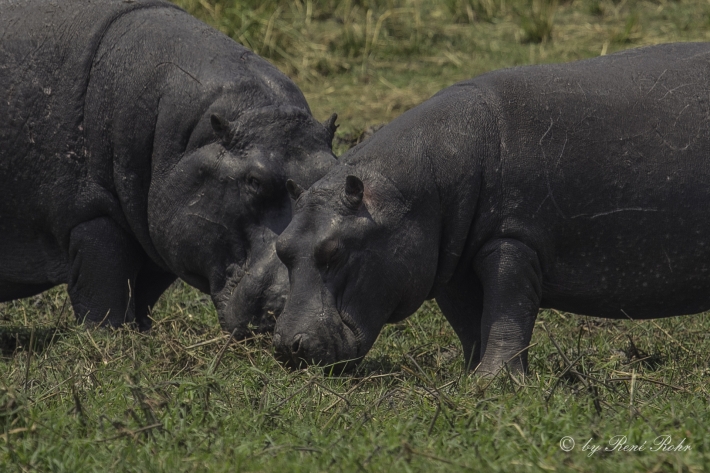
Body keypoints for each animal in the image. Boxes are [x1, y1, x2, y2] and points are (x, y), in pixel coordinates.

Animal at [0, 0, 336, 334]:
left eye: (332, 171)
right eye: (254, 181)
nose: (291, 303)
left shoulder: (159, 233)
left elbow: (145, 290)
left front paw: (142, 332)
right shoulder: (92, 215)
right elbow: (104, 289)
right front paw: (109, 337)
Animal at [273, 42, 710, 375]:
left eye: (334, 252)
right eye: (282, 248)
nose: (286, 346)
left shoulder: (511, 243)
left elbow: (505, 316)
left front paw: (492, 380)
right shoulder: (448, 264)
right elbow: (470, 323)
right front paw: (469, 376)